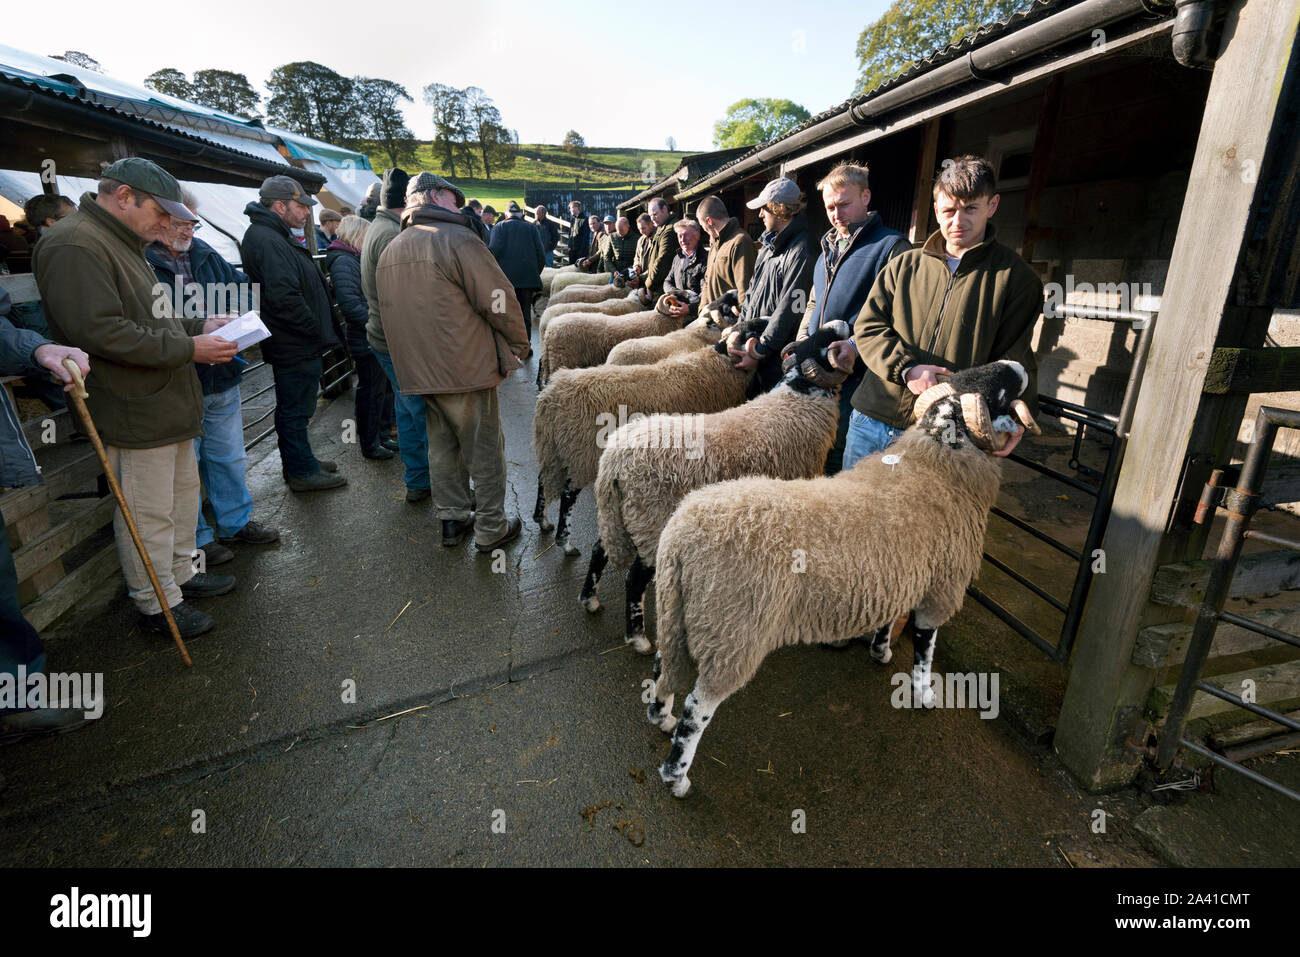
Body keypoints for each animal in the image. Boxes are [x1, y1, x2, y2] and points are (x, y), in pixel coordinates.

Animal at [587, 317, 852, 655]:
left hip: (621, 514)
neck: (799, 395)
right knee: (634, 579)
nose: (840, 323)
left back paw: (589, 600)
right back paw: (638, 638)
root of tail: (614, 461)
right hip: (650, 521)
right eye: (821, 344)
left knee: (600, 548)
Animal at [644, 361, 1040, 795]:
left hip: (677, 611)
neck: (935, 457)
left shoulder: (900, 573)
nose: (1018, 366)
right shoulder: (941, 586)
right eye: (998, 393)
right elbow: (925, 650)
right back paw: (676, 776)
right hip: (732, 633)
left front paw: (881, 651)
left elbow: (889, 620)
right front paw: (923, 694)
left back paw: (660, 716)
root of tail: (681, 536)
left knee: (665, 667)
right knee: (696, 709)